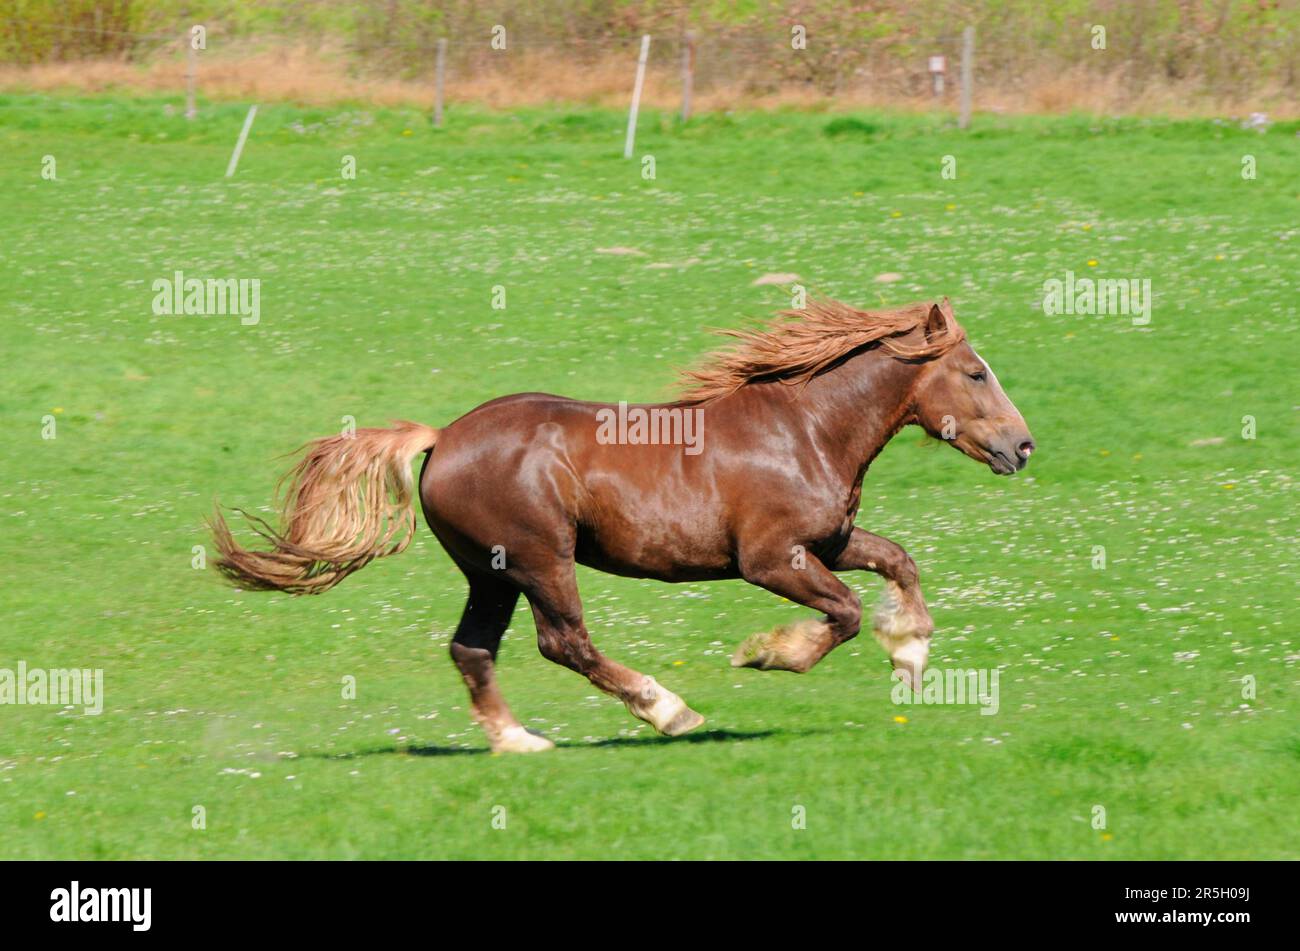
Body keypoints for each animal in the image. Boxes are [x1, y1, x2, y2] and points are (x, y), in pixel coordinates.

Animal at [208, 297, 1029, 748]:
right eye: (976, 372)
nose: (1022, 447)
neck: (803, 430)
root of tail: (441, 438)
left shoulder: (829, 540)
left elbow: (899, 560)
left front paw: (911, 656)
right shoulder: (769, 558)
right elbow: (846, 611)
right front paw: (765, 654)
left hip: (491, 572)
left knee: (473, 649)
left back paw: (521, 743)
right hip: (541, 559)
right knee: (563, 642)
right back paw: (670, 711)